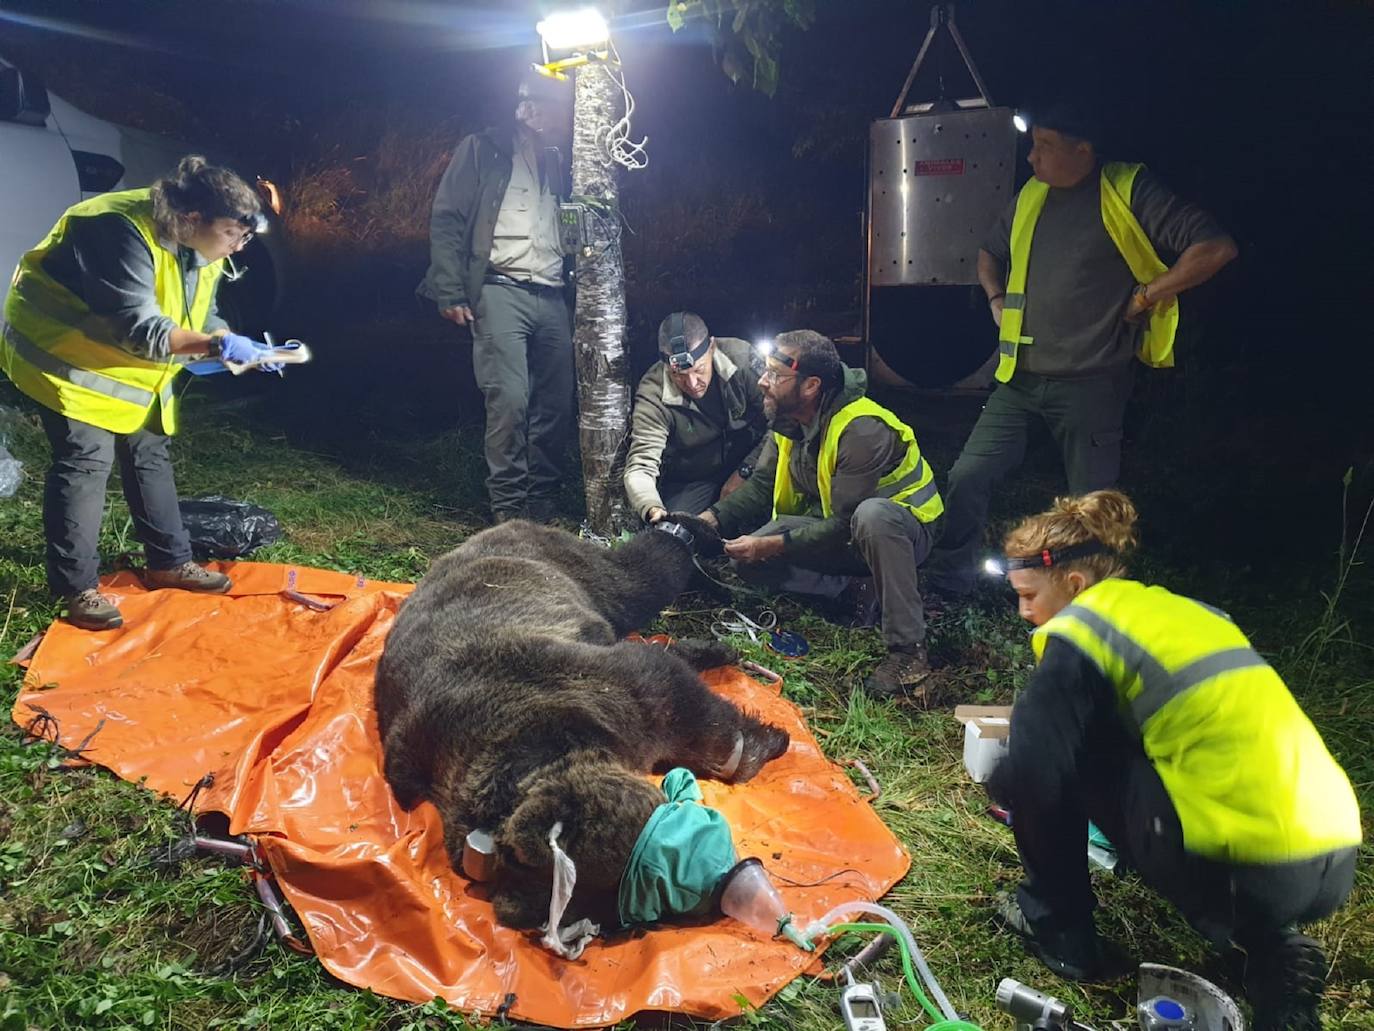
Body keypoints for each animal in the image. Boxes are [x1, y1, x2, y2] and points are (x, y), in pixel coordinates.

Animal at [376, 519, 791, 934]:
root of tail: (503, 526)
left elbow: (680, 700)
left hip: (575, 572)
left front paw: (760, 744)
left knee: (642, 576)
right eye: (651, 903)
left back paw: (694, 536)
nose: (721, 891)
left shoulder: (596, 689)